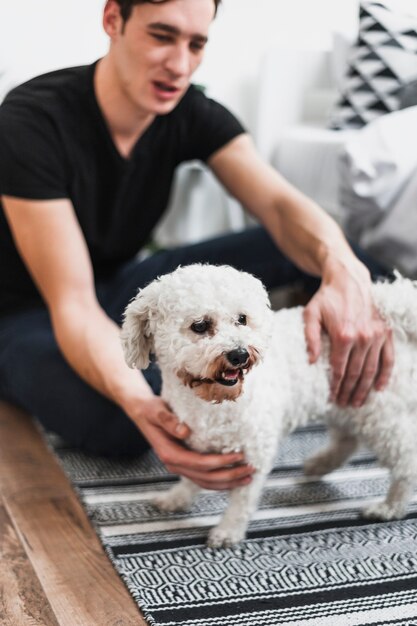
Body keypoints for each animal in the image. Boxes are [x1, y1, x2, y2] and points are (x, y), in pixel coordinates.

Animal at [120, 264, 416, 544]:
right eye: (200, 325)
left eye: (242, 319)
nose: (239, 354)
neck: (212, 403)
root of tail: (389, 313)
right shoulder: (196, 445)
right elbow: (190, 477)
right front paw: (177, 497)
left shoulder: (255, 453)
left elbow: (241, 501)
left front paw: (228, 531)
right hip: (346, 399)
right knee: (347, 440)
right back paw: (320, 465)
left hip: (379, 413)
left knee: (406, 461)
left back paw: (390, 507)